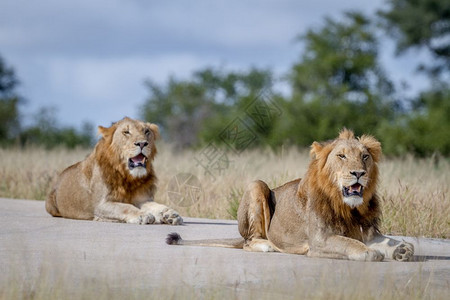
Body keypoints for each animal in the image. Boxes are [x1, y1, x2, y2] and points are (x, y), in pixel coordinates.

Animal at [46, 117, 183, 225]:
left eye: (146, 131)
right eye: (126, 132)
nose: (142, 143)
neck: (129, 177)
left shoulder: (142, 199)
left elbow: (157, 206)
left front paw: (171, 214)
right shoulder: (101, 204)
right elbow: (125, 207)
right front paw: (142, 215)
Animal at [166, 130, 414, 262]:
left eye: (364, 157)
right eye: (342, 156)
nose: (359, 173)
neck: (348, 207)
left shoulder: (368, 231)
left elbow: (388, 240)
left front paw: (402, 249)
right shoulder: (319, 240)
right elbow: (348, 243)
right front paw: (370, 252)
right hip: (257, 185)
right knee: (248, 242)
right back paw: (266, 245)